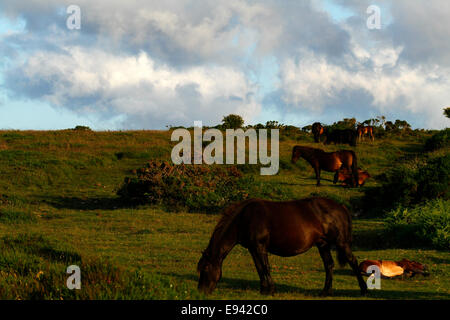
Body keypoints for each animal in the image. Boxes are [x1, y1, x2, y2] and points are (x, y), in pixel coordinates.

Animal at [199, 198, 368, 298]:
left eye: (205, 268)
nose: (201, 291)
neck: (244, 218)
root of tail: (341, 207)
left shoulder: (260, 247)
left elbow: (265, 267)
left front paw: (271, 290)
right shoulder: (253, 249)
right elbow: (259, 268)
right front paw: (264, 290)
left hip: (341, 243)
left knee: (353, 261)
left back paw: (363, 290)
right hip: (323, 244)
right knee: (329, 265)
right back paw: (325, 292)